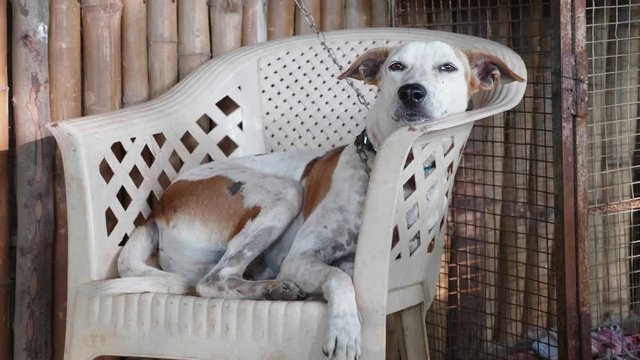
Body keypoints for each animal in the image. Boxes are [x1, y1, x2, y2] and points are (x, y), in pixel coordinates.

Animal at [105, 40, 524, 358]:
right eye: (396, 66)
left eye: (447, 67)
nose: (411, 91)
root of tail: (158, 208)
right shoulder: (302, 258)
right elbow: (338, 277)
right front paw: (344, 330)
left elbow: (346, 270)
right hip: (284, 194)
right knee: (212, 281)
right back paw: (274, 289)